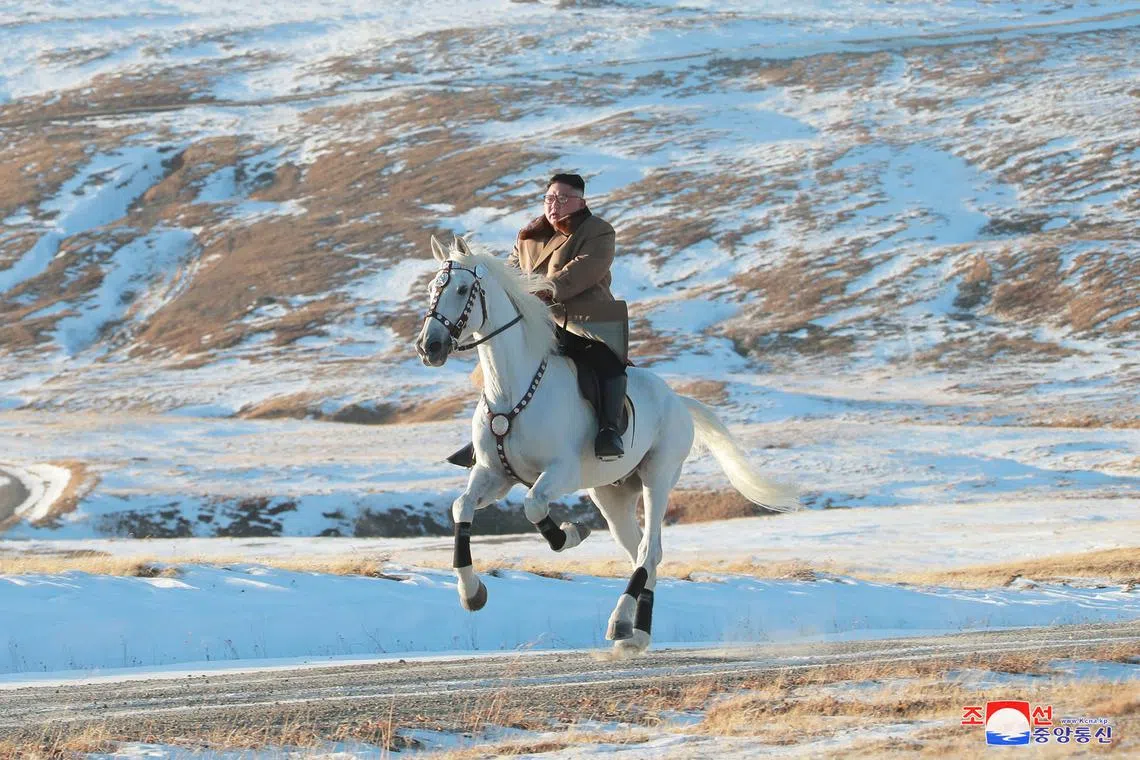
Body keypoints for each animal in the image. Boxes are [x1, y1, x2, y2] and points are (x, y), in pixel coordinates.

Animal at [415, 236, 798, 654]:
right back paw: (637, 633)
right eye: (432, 289)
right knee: (642, 553)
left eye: (462, 289)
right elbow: (461, 507)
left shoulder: (561, 472)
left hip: (657, 477)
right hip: (611, 495)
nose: (429, 346)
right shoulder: (494, 475)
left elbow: (534, 505)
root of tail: (679, 400)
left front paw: (570, 534)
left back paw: (620, 623)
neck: (512, 389)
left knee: (648, 550)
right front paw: (472, 592)